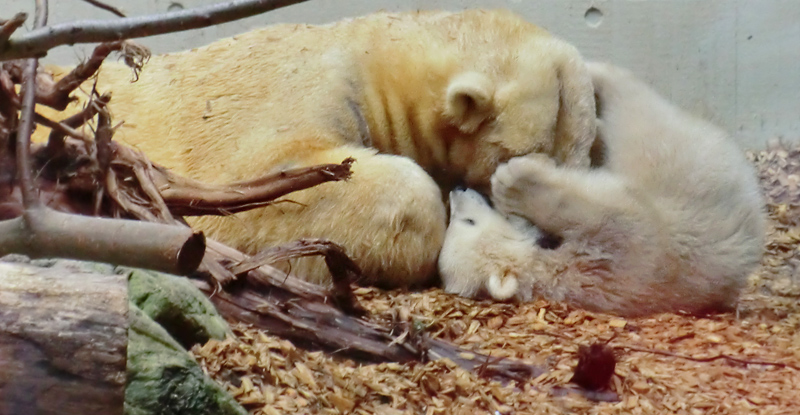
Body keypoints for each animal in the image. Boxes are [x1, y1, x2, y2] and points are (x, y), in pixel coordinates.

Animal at [40, 11, 596, 288]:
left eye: (582, 158)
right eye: (517, 168)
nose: (547, 239)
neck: (370, 62)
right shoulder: (280, 99)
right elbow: (257, 190)